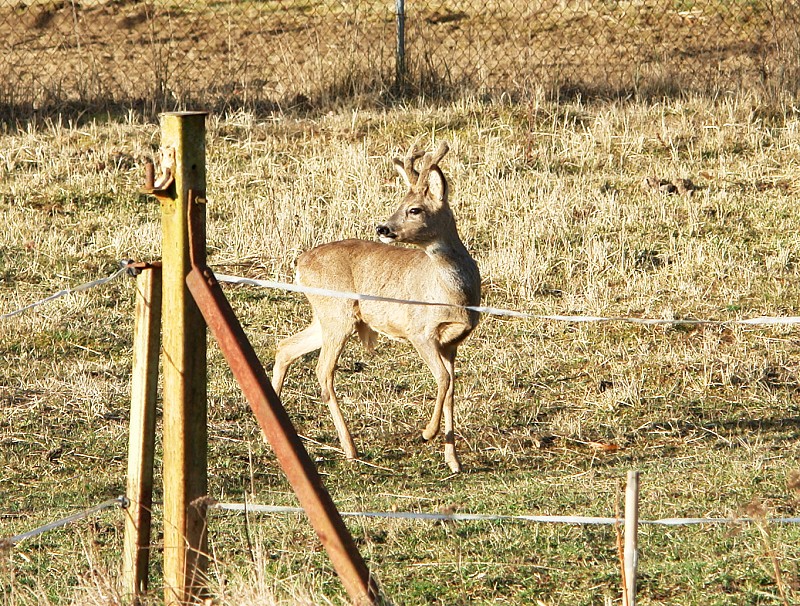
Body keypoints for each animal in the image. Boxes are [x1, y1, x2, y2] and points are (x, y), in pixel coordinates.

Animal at [272, 142, 478, 476]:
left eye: (414, 209)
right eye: (399, 203)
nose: (383, 227)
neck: (454, 294)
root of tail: (300, 262)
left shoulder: (453, 343)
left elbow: (450, 389)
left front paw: (453, 461)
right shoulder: (419, 331)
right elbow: (444, 381)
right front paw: (427, 433)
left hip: (326, 317)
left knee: (286, 347)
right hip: (338, 314)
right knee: (323, 370)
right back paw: (350, 448)